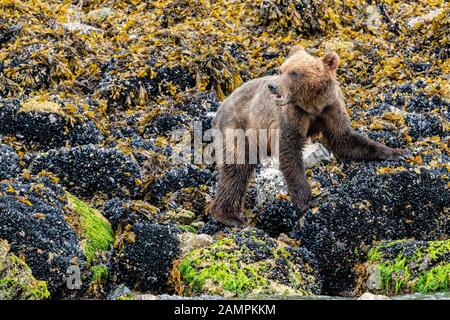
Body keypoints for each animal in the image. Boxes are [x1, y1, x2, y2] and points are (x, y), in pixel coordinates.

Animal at [209, 46, 410, 228]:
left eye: (295, 73)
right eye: (281, 69)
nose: (273, 86)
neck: (312, 105)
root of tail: (223, 102)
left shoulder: (330, 108)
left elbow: (344, 139)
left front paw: (398, 152)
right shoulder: (291, 116)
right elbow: (290, 153)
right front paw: (308, 201)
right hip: (238, 126)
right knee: (237, 167)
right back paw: (230, 217)